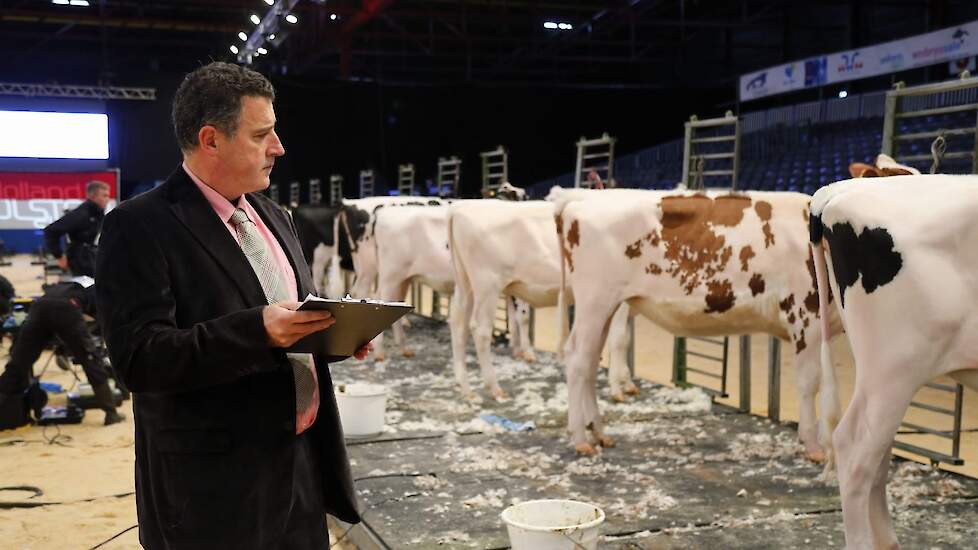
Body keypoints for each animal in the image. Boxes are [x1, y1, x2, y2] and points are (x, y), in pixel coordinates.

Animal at [552, 189, 836, 458]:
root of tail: (580, 201)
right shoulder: (806, 316)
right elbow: (810, 382)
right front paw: (813, 446)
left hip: (605, 307)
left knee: (590, 361)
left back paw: (599, 432)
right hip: (595, 300)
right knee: (578, 360)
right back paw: (580, 439)